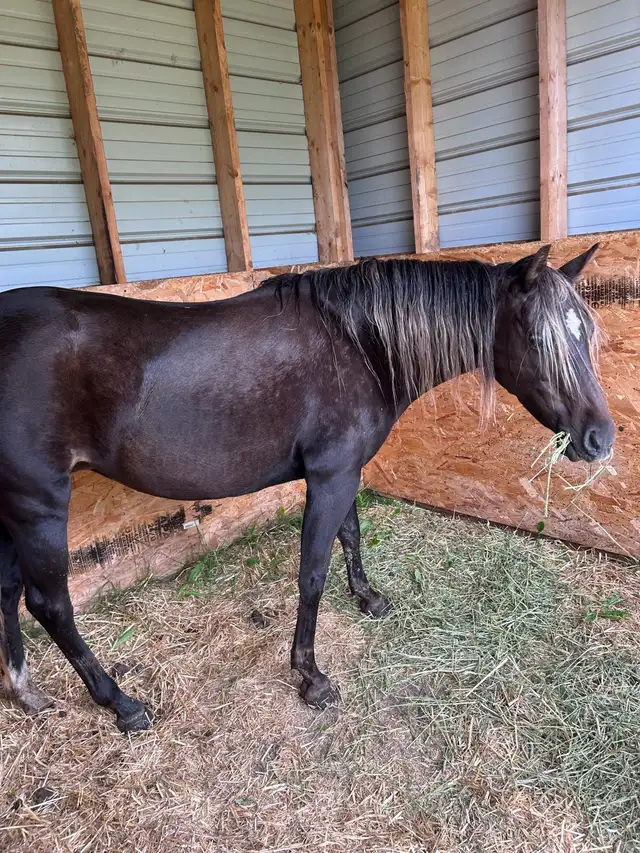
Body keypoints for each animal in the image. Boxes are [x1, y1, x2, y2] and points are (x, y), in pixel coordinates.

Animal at [0, 244, 614, 733]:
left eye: (586, 332)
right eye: (537, 337)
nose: (600, 438)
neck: (357, 344)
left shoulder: (342, 472)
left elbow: (351, 535)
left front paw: (368, 598)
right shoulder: (331, 475)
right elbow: (313, 572)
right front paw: (310, 676)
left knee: (8, 592)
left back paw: (27, 692)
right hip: (40, 506)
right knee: (50, 605)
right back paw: (121, 704)